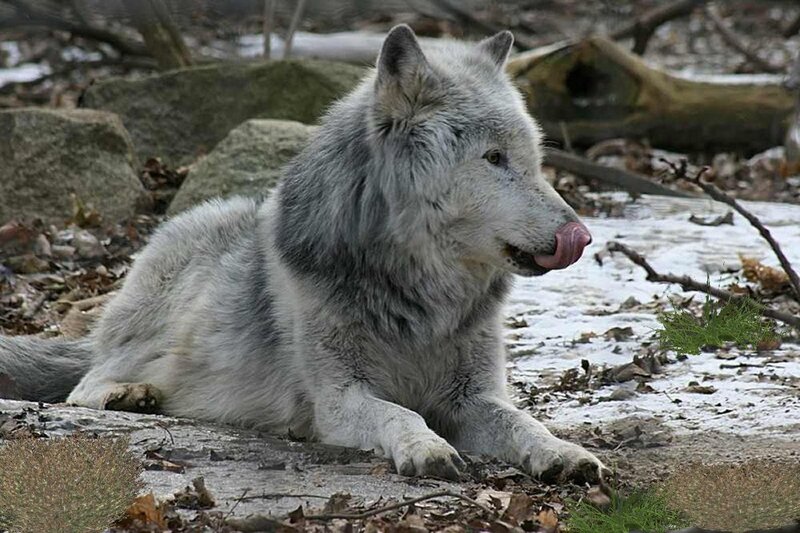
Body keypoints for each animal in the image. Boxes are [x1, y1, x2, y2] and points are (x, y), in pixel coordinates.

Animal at [0, 25, 606, 482]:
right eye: (494, 158)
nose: (581, 236)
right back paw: (131, 394)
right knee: (83, 385)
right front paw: (427, 448)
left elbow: (523, 423)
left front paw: (564, 453)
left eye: (536, 160)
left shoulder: (472, 396)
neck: (423, 300)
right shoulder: (338, 398)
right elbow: (399, 412)